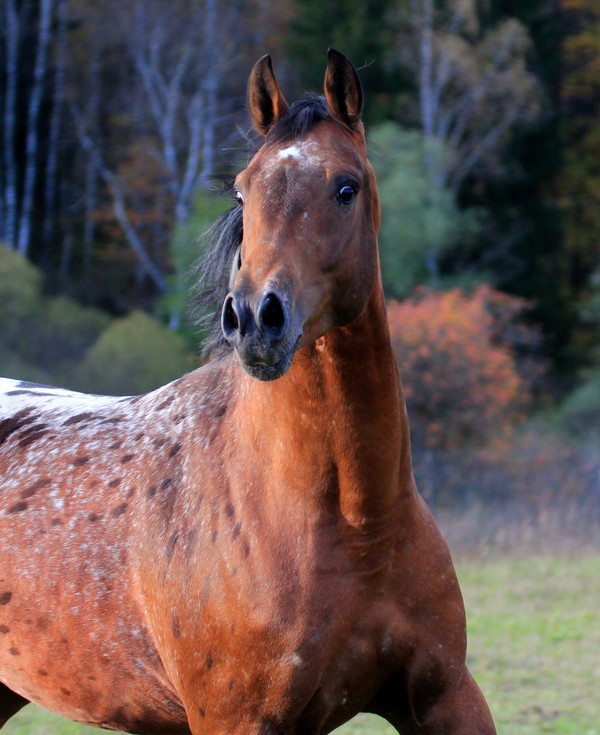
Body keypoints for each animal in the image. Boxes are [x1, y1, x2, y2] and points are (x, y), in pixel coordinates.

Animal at [0, 49, 496, 732]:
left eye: (346, 187)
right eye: (242, 189)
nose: (255, 318)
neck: (352, 522)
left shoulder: (448, 694)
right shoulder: (237, 719)